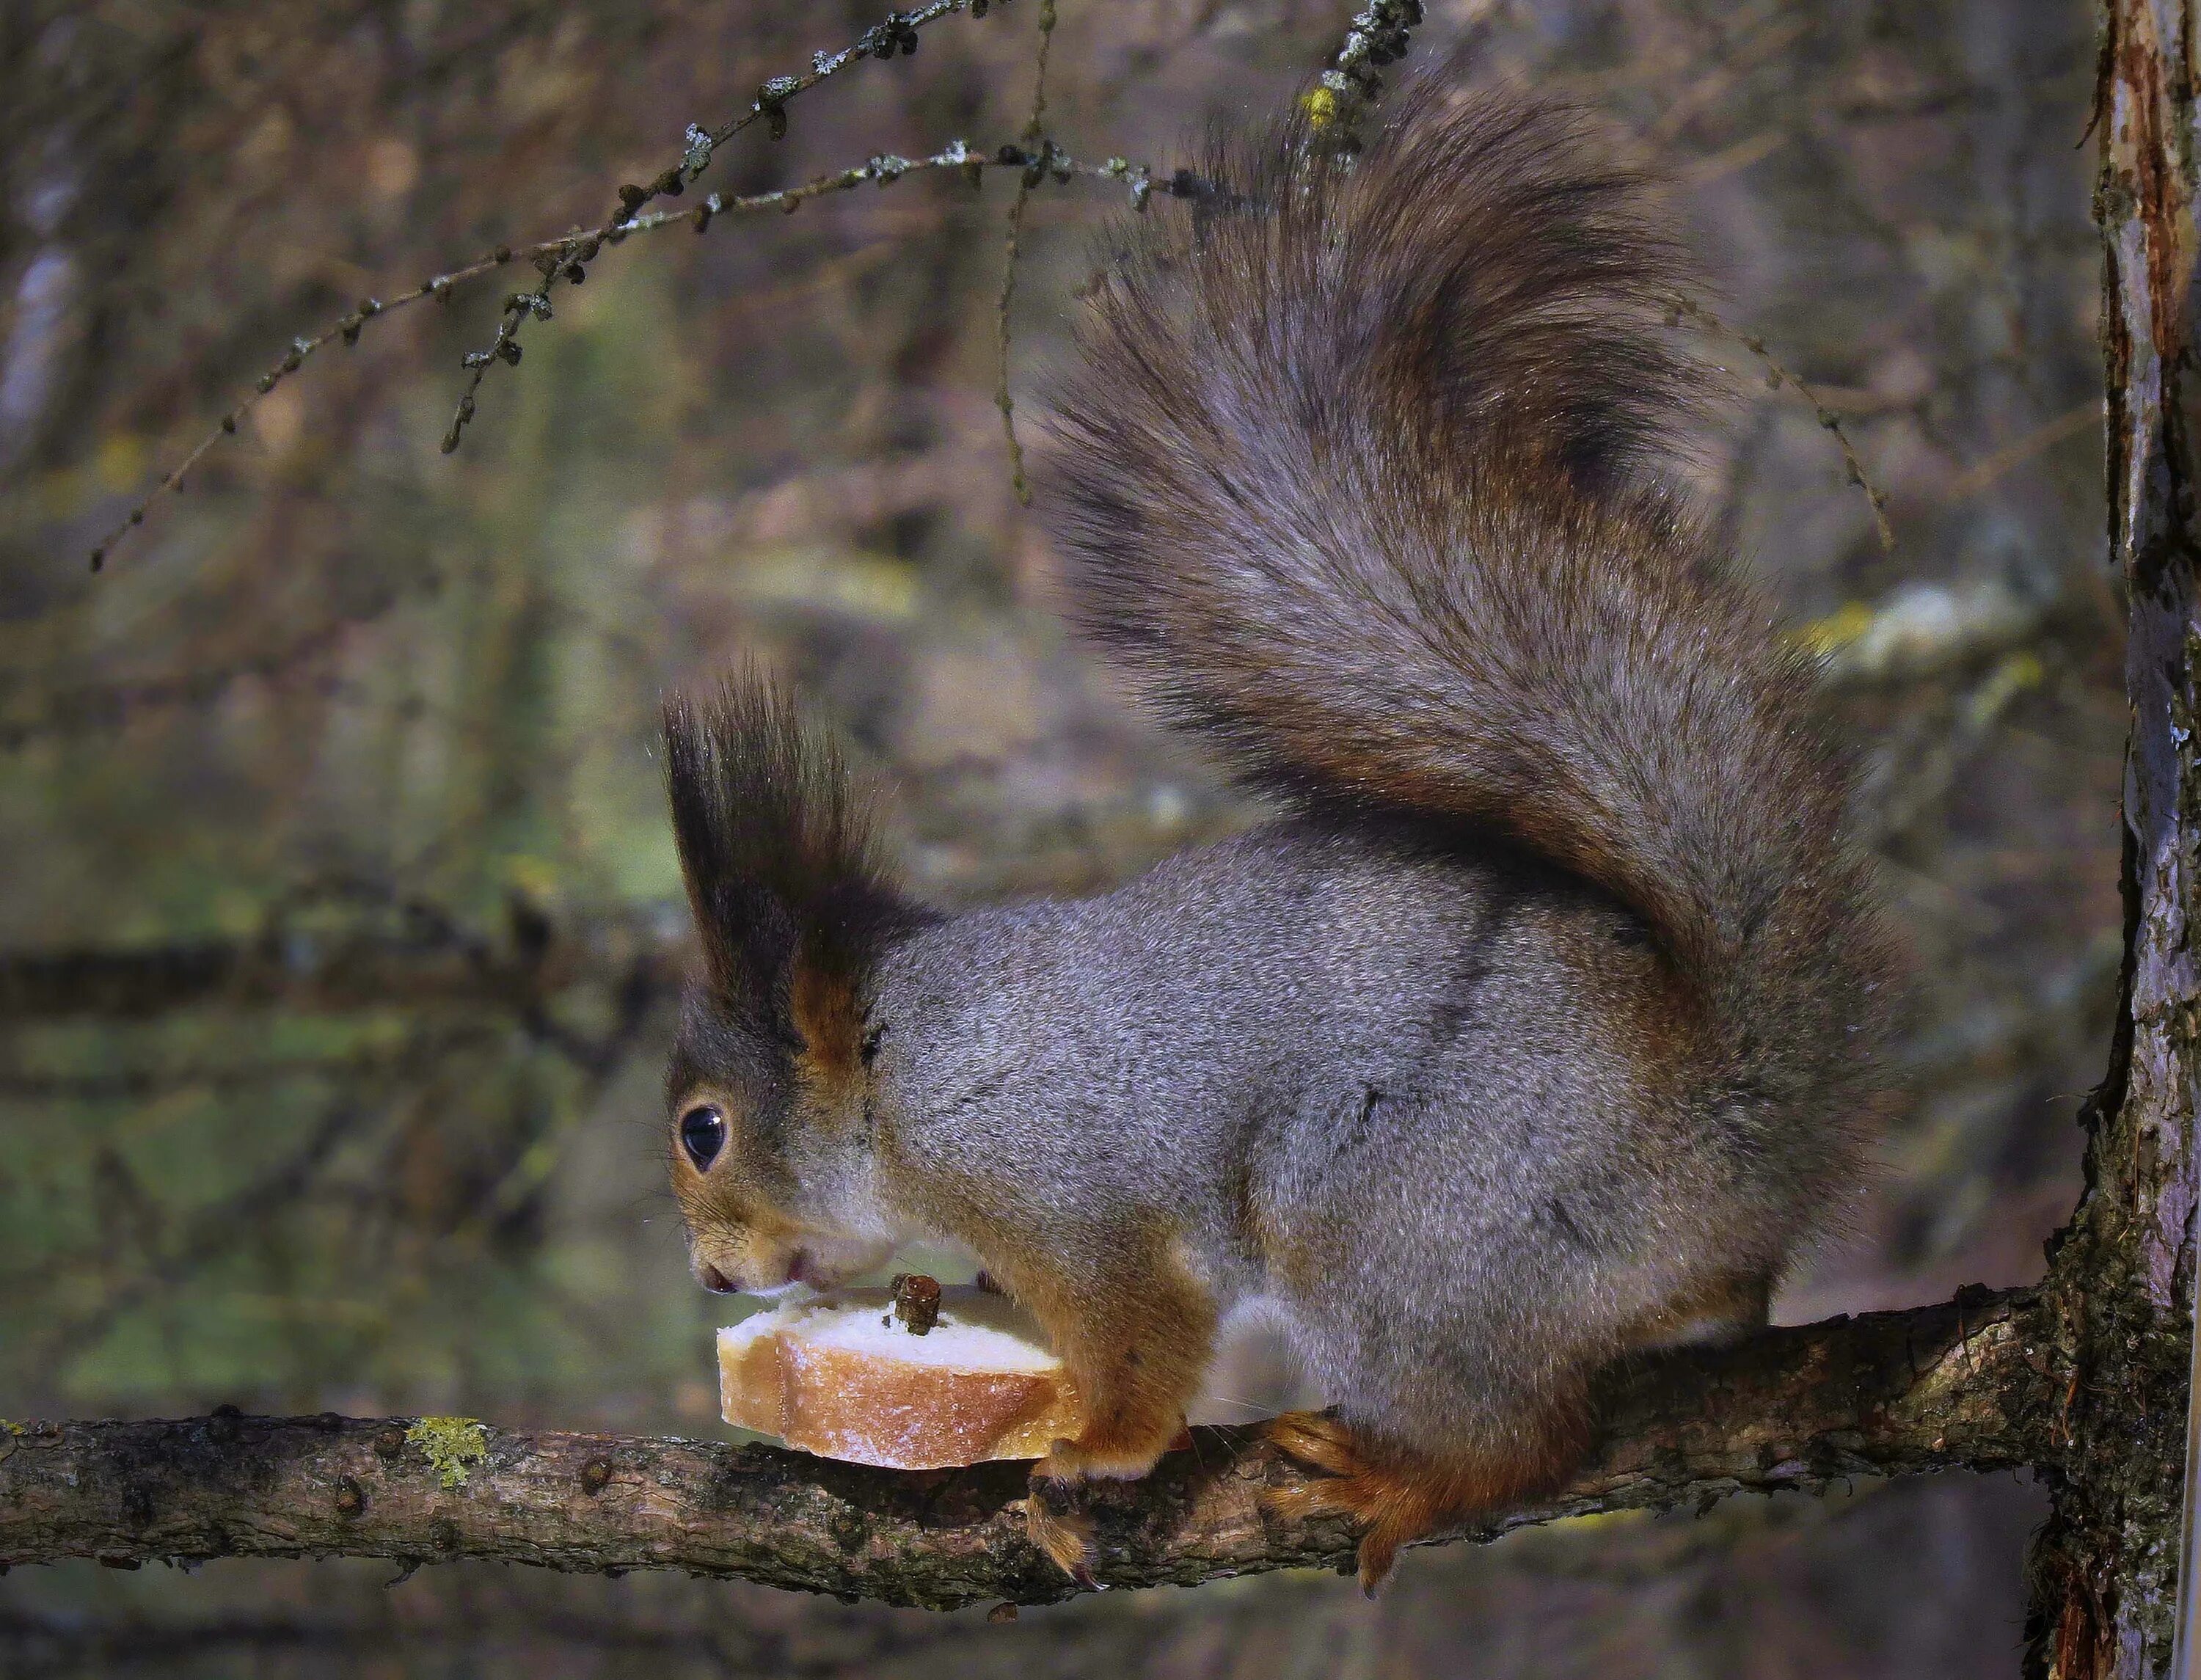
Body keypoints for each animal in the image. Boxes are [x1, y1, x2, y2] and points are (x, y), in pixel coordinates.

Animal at [651, 85, 1893, 1593]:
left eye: (704, 1131)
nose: (710, 1277)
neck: (904, 1063)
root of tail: (1732, 1127)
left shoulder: (1069, 1192)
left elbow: (1142, 1334)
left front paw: (1095, 1451)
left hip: (1395, 1225)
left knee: (1526, 1437)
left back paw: (1396, 1477)